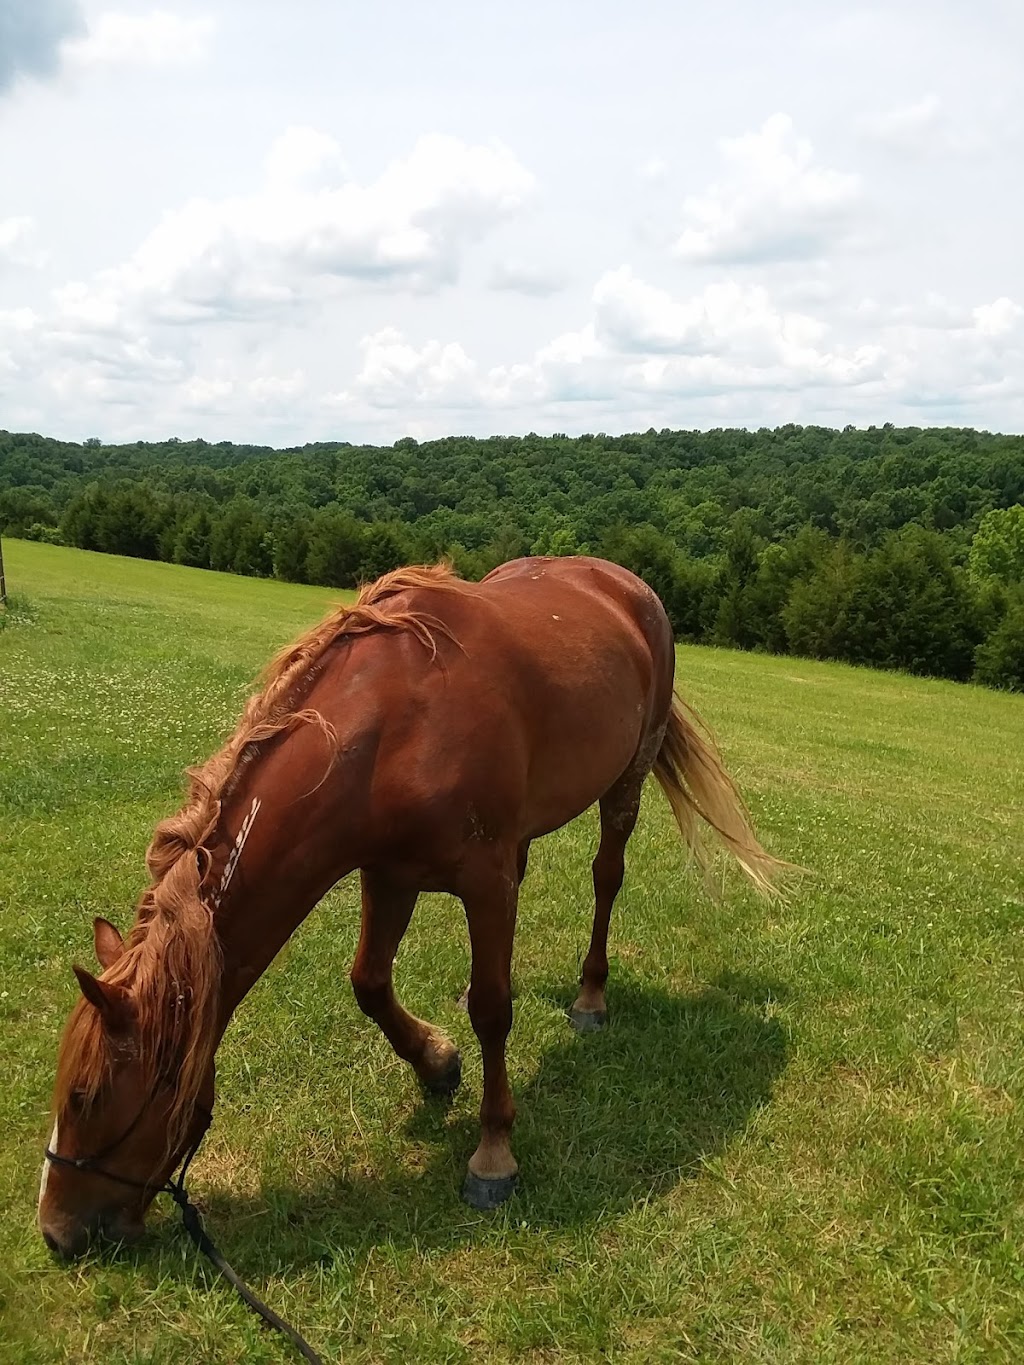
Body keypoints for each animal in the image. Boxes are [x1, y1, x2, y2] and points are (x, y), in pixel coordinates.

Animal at [36, 556, 780, 1255]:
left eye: (87, 1096)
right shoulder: (388, 873)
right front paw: (438, 1062)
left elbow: (493, 1009)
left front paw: (492, 1153)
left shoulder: (482, 880)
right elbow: (370, 982)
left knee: (606, 878)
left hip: (627, 778)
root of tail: (625, 585)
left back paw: (591, 996)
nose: (56, 1231)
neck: (392, 724)